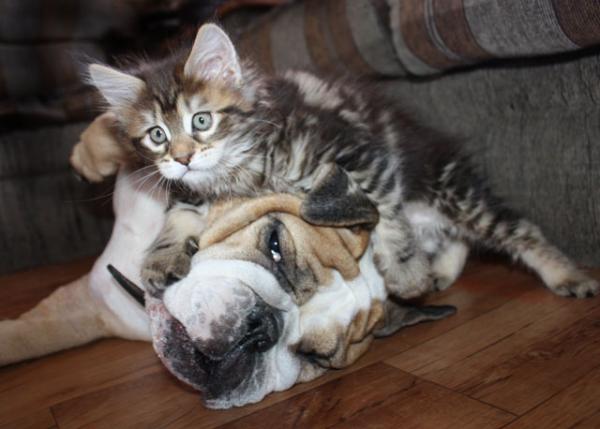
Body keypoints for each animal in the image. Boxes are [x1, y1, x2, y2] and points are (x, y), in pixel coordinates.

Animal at [86, 22, 596, 298]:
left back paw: (567, 274)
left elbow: (385, 214)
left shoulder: (363, 152)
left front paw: (406, 272)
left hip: (451, 189)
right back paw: (442, 272)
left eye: (202, 120)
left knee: (517, 229)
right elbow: (175, 217)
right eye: (157, 135)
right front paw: (159, 260)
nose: (184, 157)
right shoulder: (190, 191)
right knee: (459, 239)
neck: (240, 168)